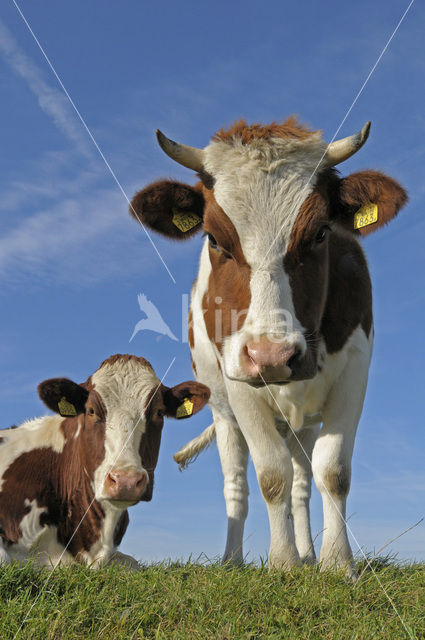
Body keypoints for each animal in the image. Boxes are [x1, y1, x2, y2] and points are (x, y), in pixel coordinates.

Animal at [130, 116, 408, 576]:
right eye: (214, 238)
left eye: (320, 233)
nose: (272, 355)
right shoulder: (239, 381)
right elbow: (271, 476)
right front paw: (282, 563)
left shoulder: (354, 372)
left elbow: (332, 472)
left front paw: (336, 563)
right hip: (224, 413)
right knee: (237, 486)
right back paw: (233, 560)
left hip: (302, 424)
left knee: (303, 482)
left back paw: (307, 552)